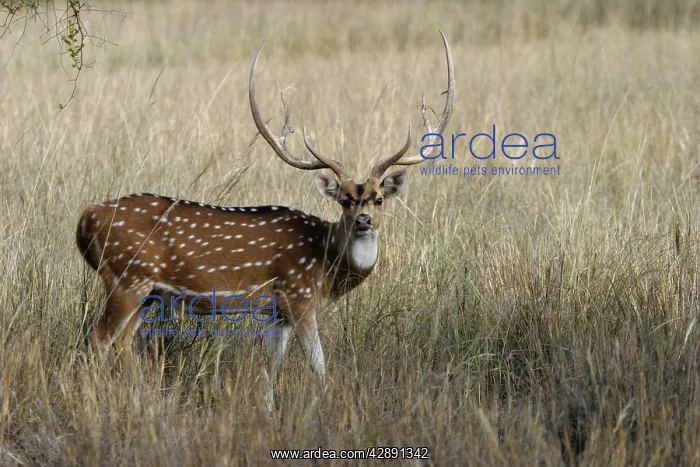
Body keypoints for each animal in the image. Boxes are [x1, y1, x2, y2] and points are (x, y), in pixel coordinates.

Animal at [76, 30, 454, 409]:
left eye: (378, 199)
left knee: (122, 341)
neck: (325, 262)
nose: (364, 221)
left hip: (148, 290)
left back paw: (143, 402)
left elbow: (271, 364)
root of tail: (85, 219)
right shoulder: (299, 295)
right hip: (127, 278)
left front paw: (268, 409)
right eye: (345, 200)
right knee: (97, 340)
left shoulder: (278, 312)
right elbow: (318, 365)